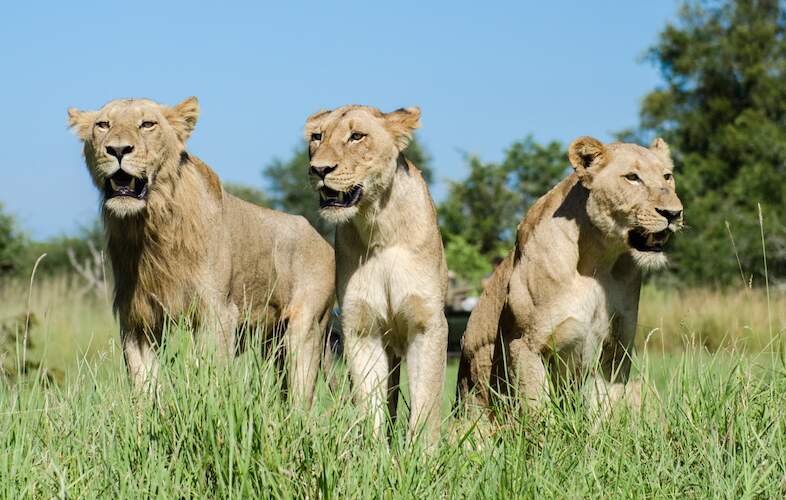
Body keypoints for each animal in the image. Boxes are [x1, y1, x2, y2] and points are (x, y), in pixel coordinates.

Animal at [67, 97, 334, 406]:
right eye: (103, 124)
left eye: (147, 124)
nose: (118, 149)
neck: (151, 226)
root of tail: (323, 240)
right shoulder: (137, 319)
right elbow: (142, 383)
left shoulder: (217, 311)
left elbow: (211, 374)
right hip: (273, 340)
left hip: (305, 327)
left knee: (302, 395)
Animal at [302, 104, 448, 442]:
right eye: (317, 137)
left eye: (357, 136)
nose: (319, 169)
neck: (379, 225)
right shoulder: (361, 326)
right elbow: (371, 404)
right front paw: (374, 450)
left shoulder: (427, 324)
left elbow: (426, 402)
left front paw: (421, 452)